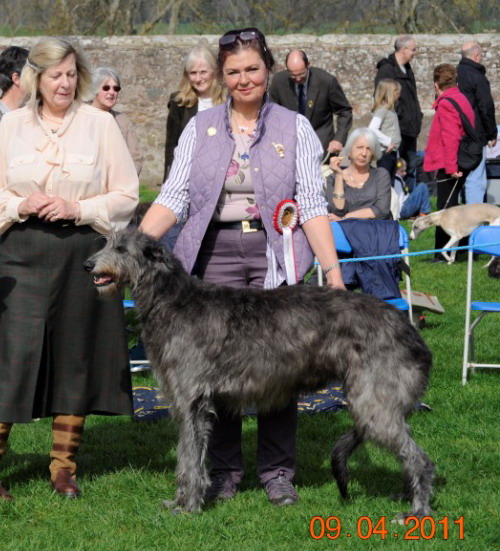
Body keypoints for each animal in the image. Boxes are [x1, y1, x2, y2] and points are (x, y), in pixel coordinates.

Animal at [85, 231, 434, 520]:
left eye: (121, 248)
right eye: (107, 242)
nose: (88, 264)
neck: (172, 301)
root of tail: (409, 330)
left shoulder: (192, 402)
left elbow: (190, 458)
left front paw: (189, 507)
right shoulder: (189, 404)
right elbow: (187, 456)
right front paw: (181, 500)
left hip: (373, 402)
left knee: (419, 458)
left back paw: (417, 511)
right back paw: (407, 496)